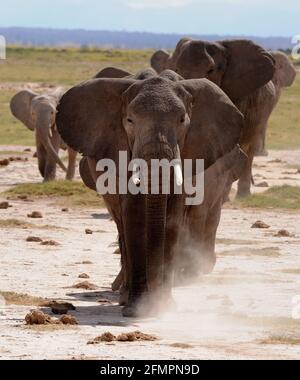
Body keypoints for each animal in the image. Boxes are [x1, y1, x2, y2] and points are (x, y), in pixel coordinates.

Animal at [56, 69, 246, 318]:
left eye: (182, 120)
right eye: (129, 120)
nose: (153, 301)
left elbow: (172, 216)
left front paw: (163, 307)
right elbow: (134, 213)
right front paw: (137, 309)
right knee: (121, 224)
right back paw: (124, 296)